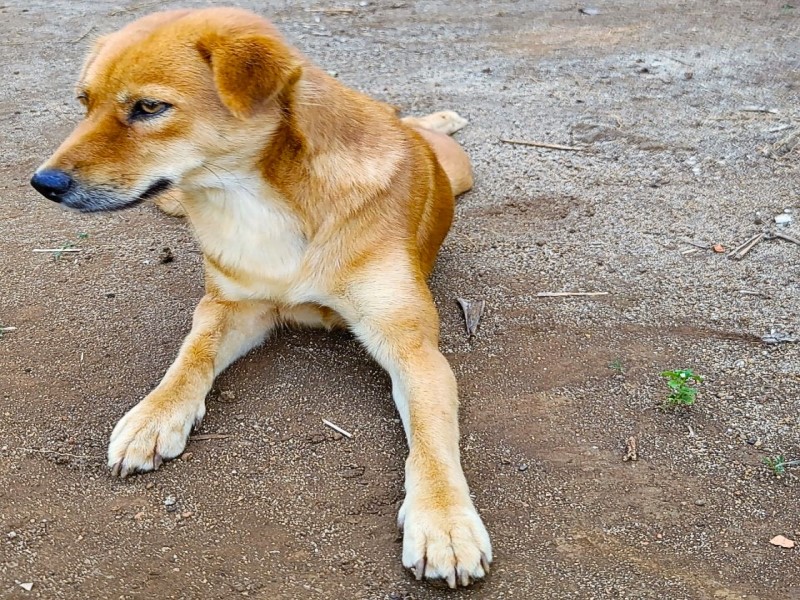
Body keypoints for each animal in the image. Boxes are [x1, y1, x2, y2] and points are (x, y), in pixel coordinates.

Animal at [29, 7, 488, 588]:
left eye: (150, 107)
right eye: (83, 102)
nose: (43, 183)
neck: (258, 196)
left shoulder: (412, 347)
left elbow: (431, 437)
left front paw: (444, 521)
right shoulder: (230, 307)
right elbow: (190, 357)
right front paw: (154, 416)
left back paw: (439, 118)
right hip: (171, 203)